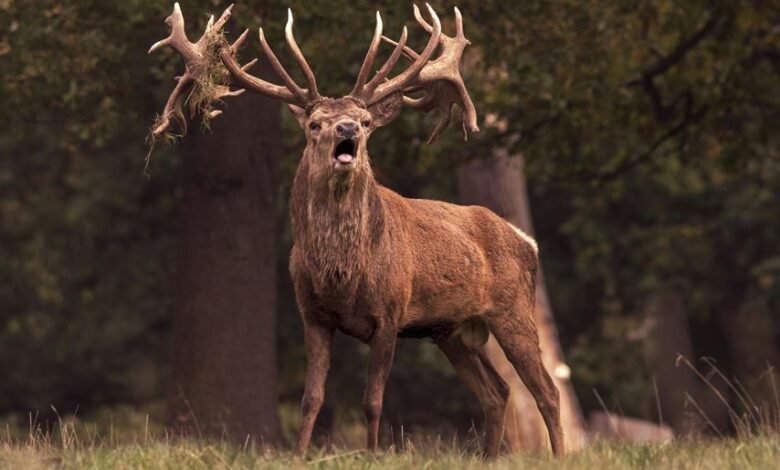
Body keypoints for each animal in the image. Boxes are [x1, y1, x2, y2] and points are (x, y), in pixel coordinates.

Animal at [148, 2, 564, 458]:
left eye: (365, 121)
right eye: (315, 123)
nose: (346, 129)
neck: (341, 277)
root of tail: (527, 240)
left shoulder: (390, 313)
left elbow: (373, 400)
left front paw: (373, 454)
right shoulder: (312, 314)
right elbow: (311, 397)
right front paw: (299, 455)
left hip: (513, 309)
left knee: (546, 390)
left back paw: (560, 455)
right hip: (450, 330)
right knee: (498, 391)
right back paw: (489, 458)